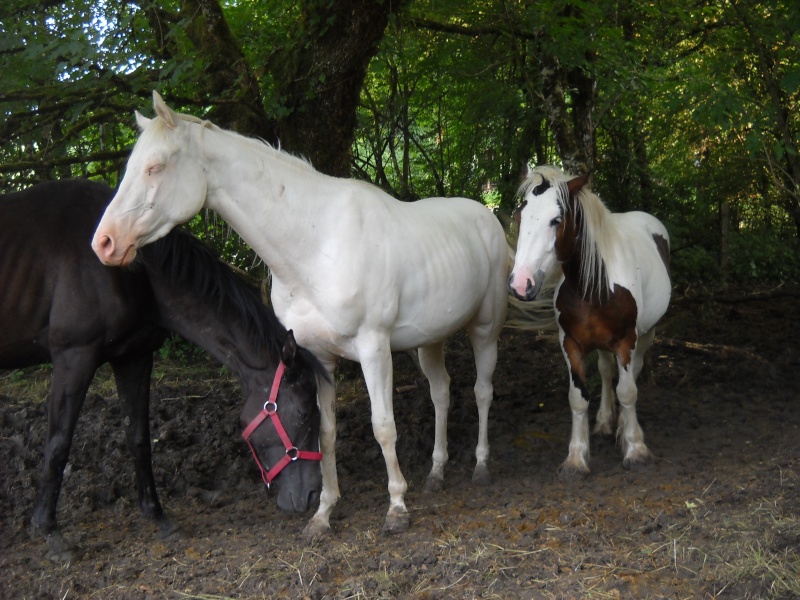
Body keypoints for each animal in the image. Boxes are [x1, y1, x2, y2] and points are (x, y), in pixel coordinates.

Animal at [0, 177, 324, 552]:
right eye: (304, 413)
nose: (312, 494)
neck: (131, 272)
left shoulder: (134, 356)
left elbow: (139, 438)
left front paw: (157, 516)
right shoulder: (74, 356)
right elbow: (57, 443)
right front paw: (48, 529)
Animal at [90, 91, 510, 536]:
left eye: (155, 166)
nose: (104, 242)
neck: (317, 243)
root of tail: (485, 215)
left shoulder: (374, 349)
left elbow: (383, 427)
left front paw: (396, 507)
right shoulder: (319, 357)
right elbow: (326, 433)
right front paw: (323, 514)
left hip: (485, 328)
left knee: (482, 390)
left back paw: (481, 466)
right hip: (430, 339)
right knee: (441, 392)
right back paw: (436, 472)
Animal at [510, 166, 672, 480]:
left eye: (556, 220)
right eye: (520, 217)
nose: (521, 284)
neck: (595, 285)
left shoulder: (626, 340)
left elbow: (628, 391)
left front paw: (636, 450)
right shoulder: (570, 344)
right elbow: (578, 397)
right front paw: (576, 458)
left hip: (646, 334)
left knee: (633, 372)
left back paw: (624, 427)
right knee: (607, 371)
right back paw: (606, 422)